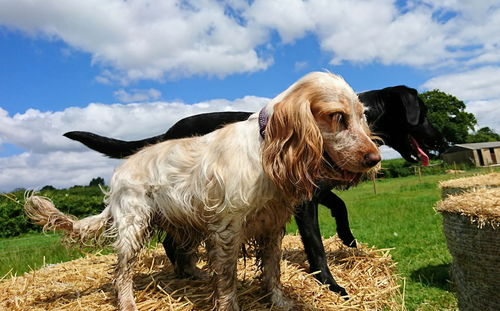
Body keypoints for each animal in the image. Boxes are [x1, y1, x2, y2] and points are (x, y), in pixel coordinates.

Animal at [64, 86, 440, 298]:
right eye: (422, 114)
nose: (443, 139)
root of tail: (165, 133)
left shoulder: (310, 192)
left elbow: (340, 205)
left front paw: (347, 238)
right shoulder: (302, 203)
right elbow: (316, 245)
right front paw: (331, 284)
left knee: (174, 243)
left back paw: (190, 273)